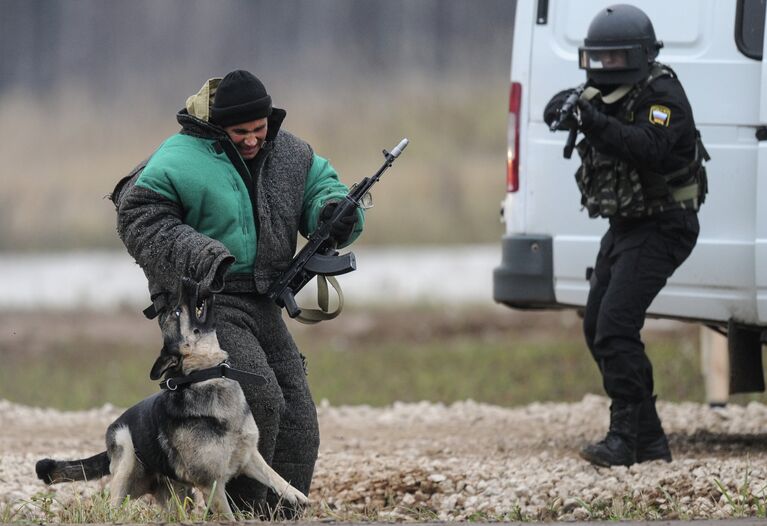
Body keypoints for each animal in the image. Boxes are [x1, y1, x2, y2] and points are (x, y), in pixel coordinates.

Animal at [35, 280, 306, 520]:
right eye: (177, 311)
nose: (185, 279)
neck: (205, 377)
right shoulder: (212, 485)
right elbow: (229, 516)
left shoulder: (248, 455)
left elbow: (273, 475)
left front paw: (295, 494)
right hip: (125, 449)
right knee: (112, 503)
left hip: (178, 493)